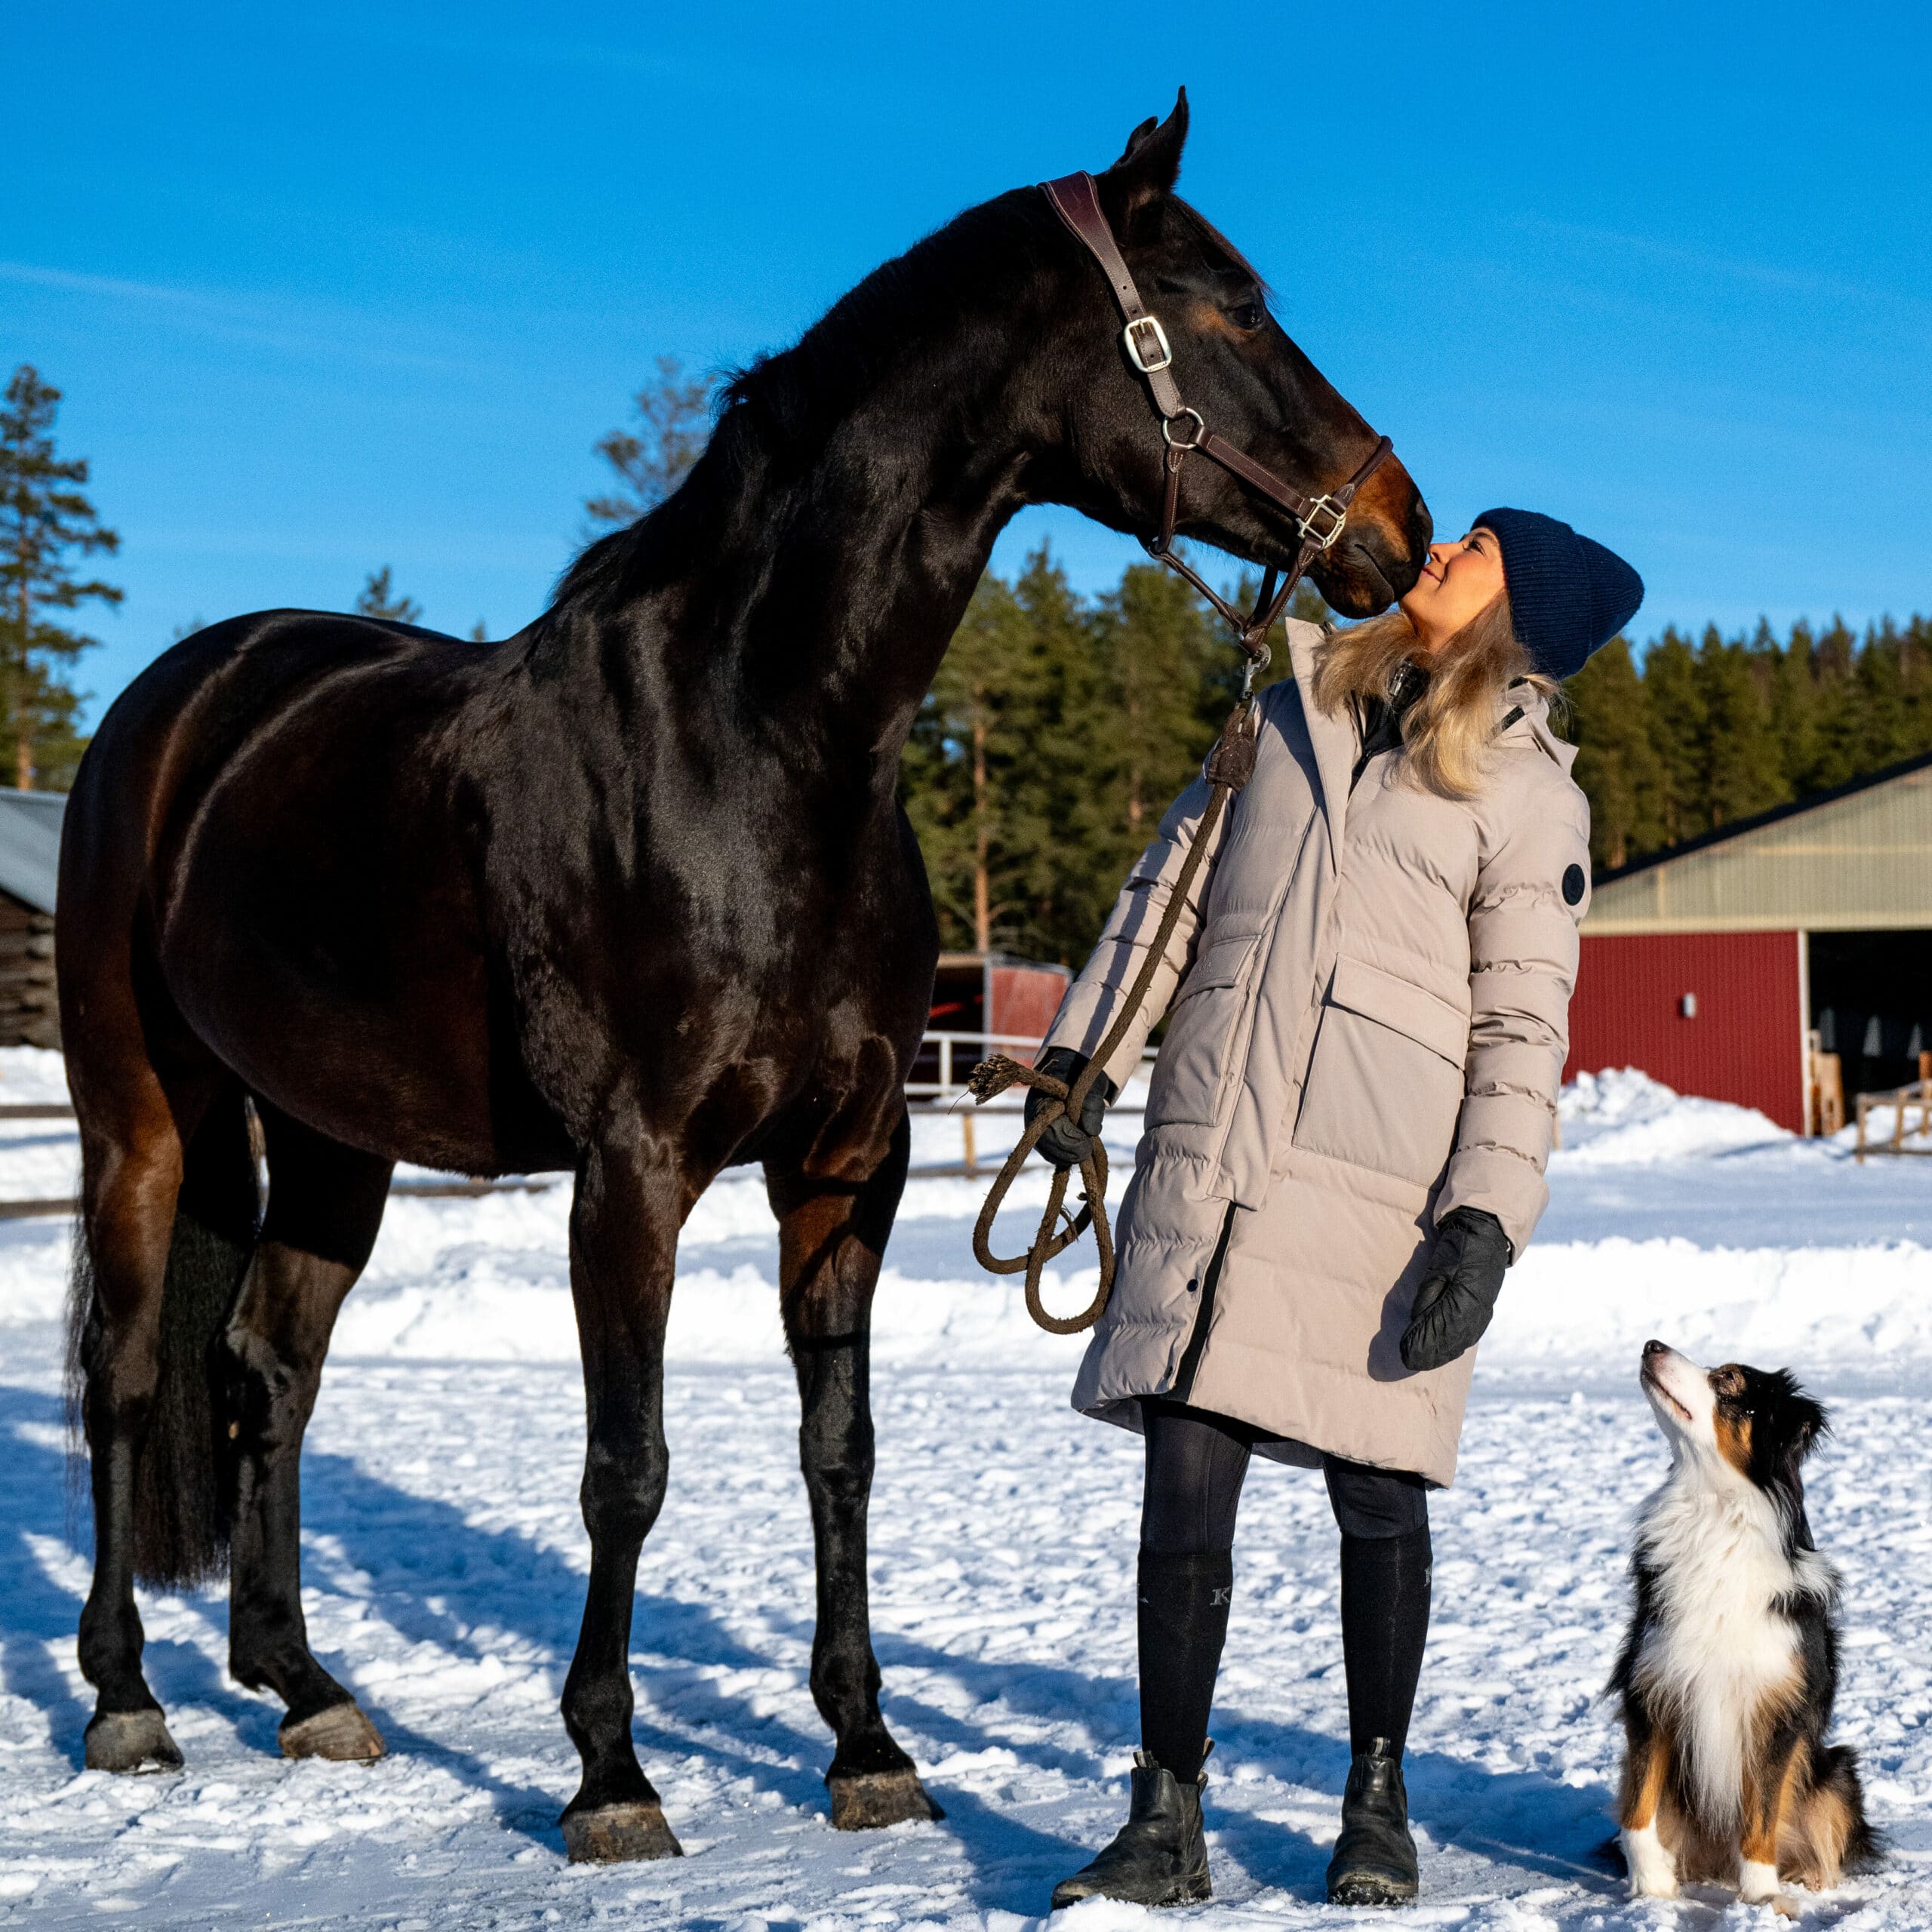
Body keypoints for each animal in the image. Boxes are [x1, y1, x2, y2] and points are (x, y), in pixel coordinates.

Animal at [60, 97, 1429, 1862]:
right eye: (1231, 310)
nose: (1399, 527)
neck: (764, 742)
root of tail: (181, 701)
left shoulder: (846, 1160)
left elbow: (838, 1447)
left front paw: (867, 1744)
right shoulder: (632, 1171)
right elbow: (625, 1466)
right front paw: (611, 1773)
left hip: (333, 1138)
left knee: (265, 1370)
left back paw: (304, 1689)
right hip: (141, 1112)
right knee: (124, 1375)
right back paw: (126, 1697)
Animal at [1607, 1344, 1878, 1916]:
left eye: (1728, 1380)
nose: (1651, 1345)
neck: (1713, 1513)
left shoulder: (1776, 1709)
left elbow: (1762, 1815)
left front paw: (1761, 1897)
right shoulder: (1651, 1688)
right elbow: (1637, 1808)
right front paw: (1652, 1887)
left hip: (1836, 1769)